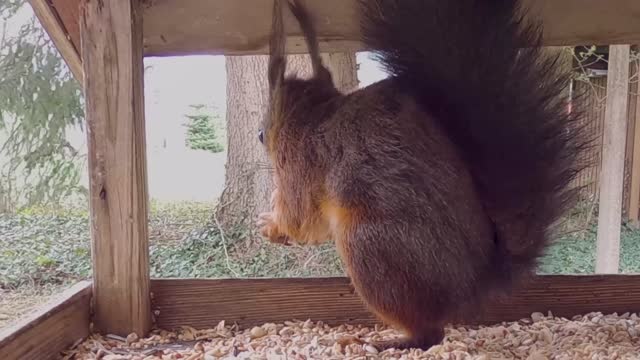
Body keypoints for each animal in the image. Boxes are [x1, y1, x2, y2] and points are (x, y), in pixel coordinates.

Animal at [254, 0, 592, 352]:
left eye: (262, 135)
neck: (315, 115)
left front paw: (271, 226)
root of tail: (475, 286)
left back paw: (386, 342)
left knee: (429, 335)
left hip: (372, 251)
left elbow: (301, 221)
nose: (260, 135)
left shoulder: (300, 165)